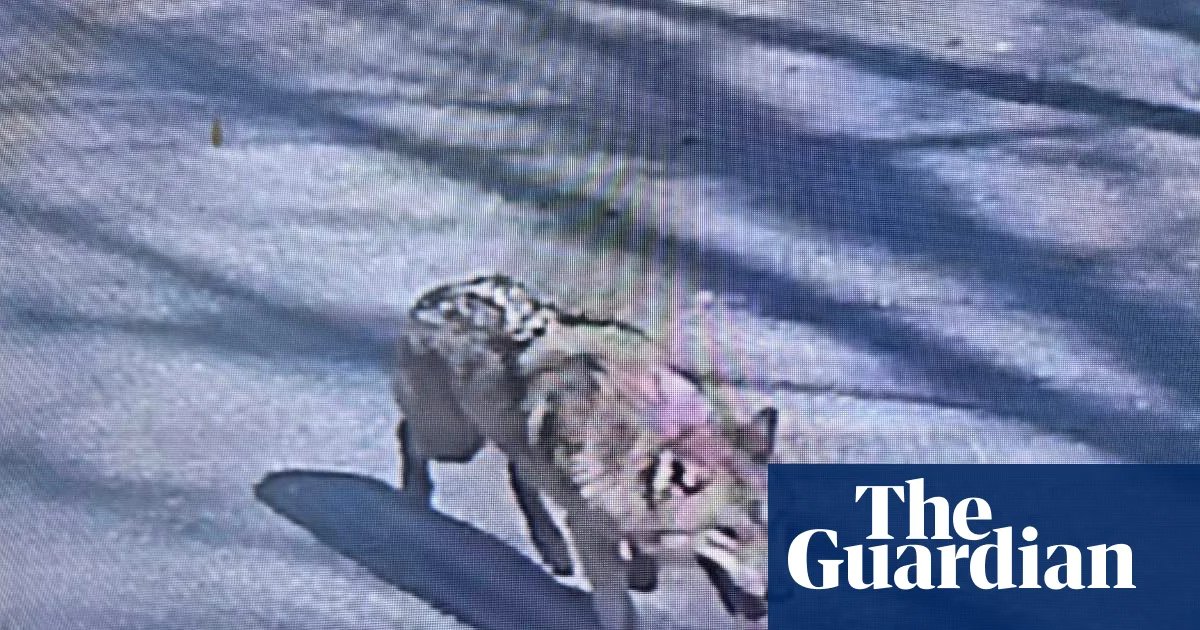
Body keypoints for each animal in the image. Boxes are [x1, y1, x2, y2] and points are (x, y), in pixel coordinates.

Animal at [392, 275, 776, 629]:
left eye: (767, 522)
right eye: (728, 533)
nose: (767, 598)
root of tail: (439, 294)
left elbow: (653, 566)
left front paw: (644, 570)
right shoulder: (590, 529)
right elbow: (618, 606)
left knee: (519, 472)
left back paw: (553, 547)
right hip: (456, 442)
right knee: (409, 433)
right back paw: (416, 493)